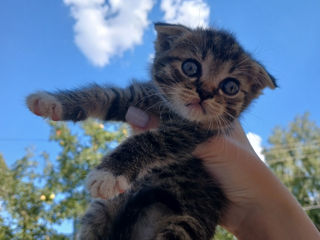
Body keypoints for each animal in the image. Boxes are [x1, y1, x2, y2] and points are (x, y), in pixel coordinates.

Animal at [26, 23, 276, 240]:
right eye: (190, 67)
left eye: (230, 86)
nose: (205, 93)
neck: (173, 112)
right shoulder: (139, 96)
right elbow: (104, 95)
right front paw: (51, 102)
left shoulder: (195, 133)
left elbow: (153, 140)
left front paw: (110, 173)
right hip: (102, 210)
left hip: (189, 222)